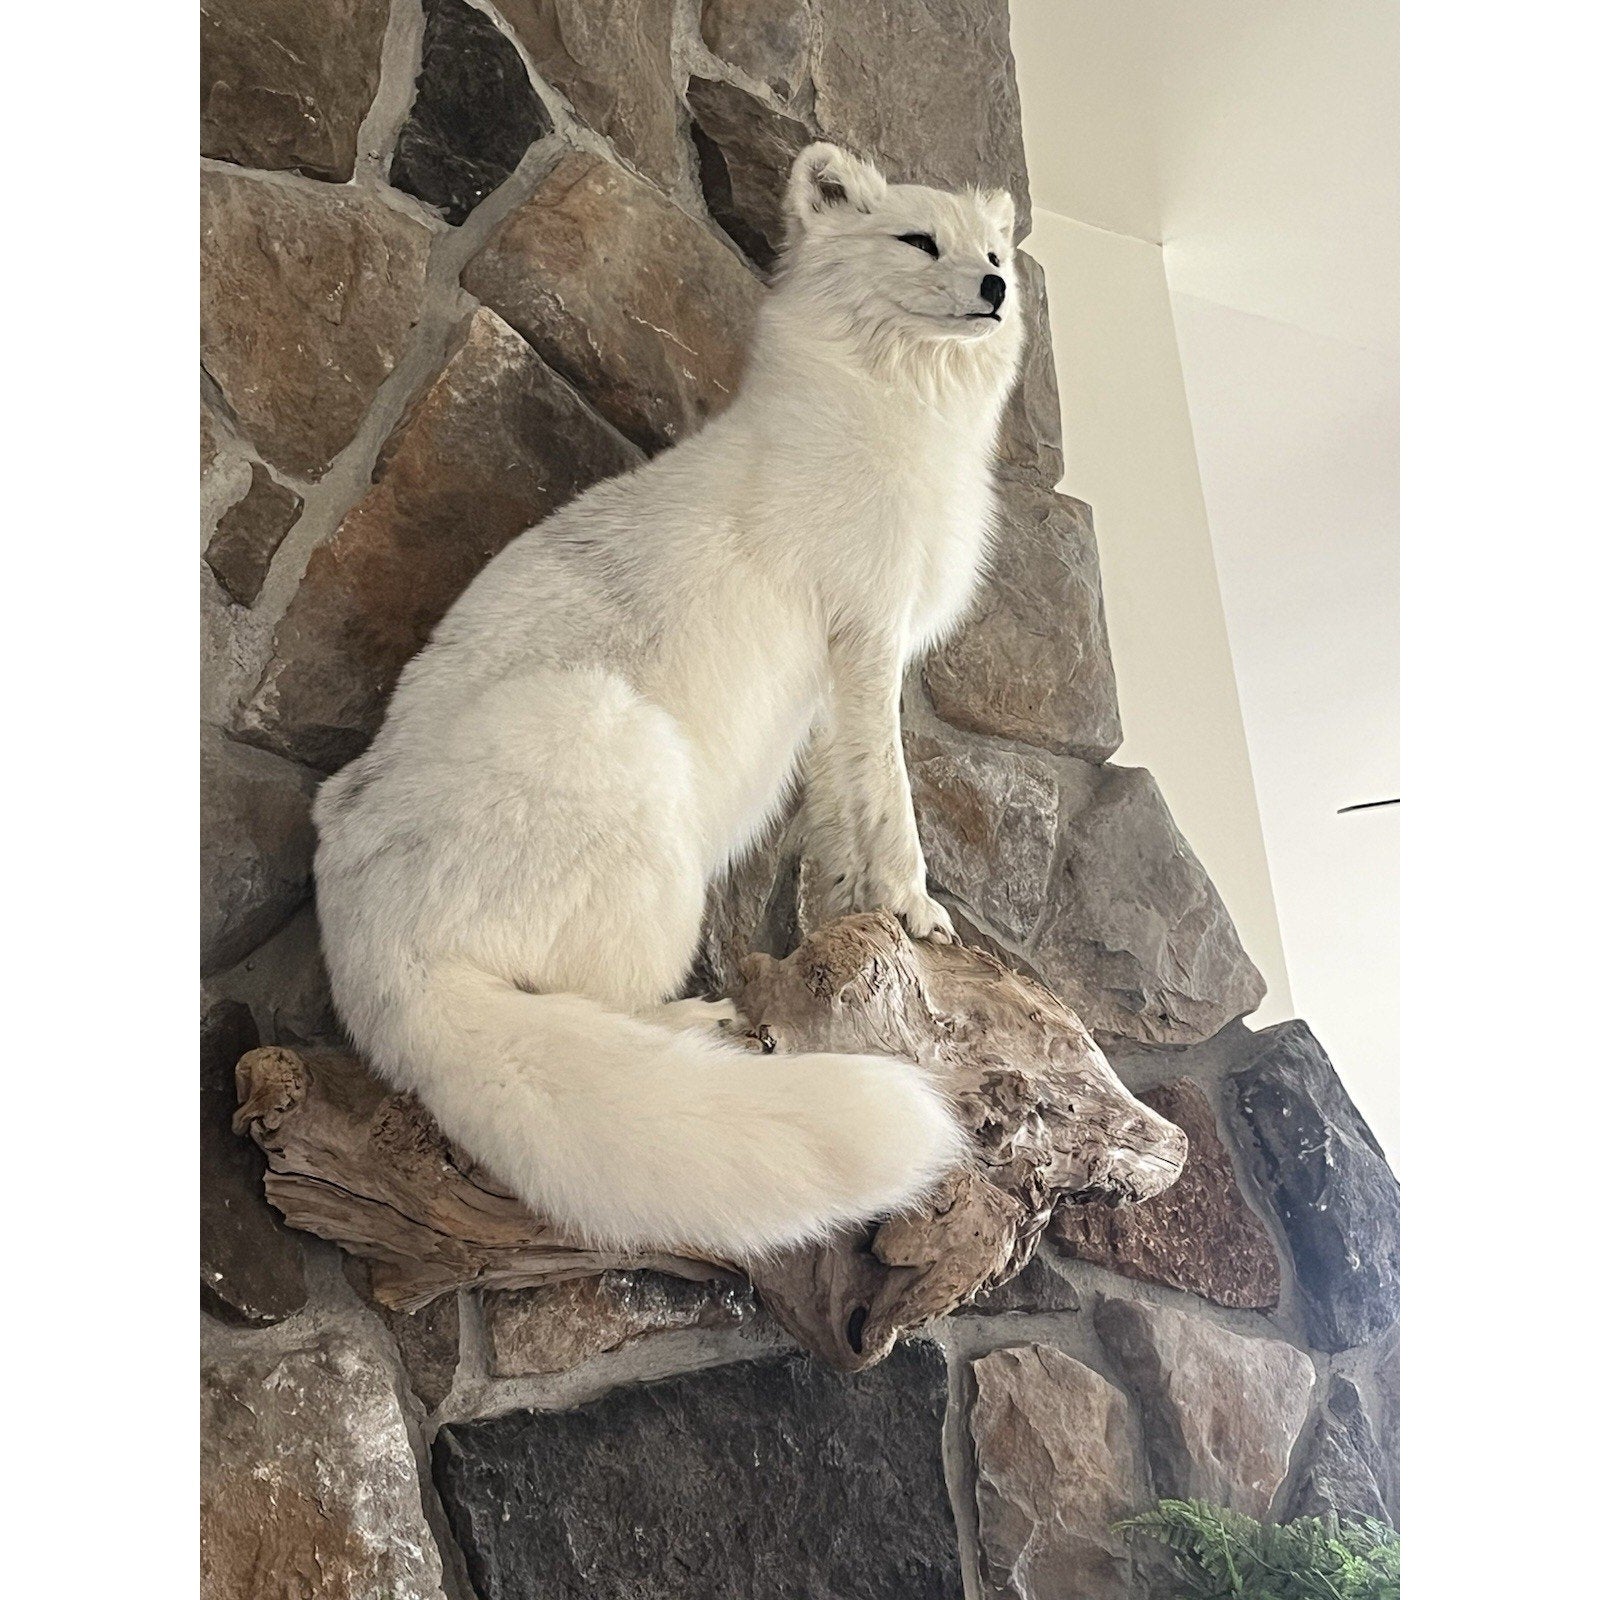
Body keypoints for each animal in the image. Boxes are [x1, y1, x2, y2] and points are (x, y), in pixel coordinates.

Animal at [312, 142, 1026, 1260]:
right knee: (598, 1004)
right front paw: (914, 904)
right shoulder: (869, 636)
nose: (993, 290)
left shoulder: (836, 678)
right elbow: (893, 797)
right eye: (920, 242)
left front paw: (842, 918)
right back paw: (703, 1026)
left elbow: (837, 810)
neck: (899, 408)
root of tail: (374, 962)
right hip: (619, 753)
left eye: (995, 253)